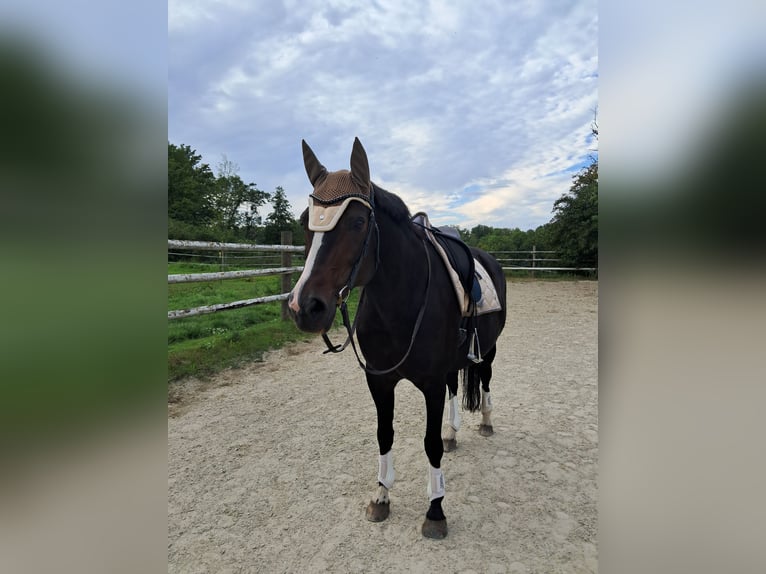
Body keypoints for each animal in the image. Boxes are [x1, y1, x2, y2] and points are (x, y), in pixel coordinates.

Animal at [288, 137, 507, 539]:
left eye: (358, 222)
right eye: (304, 222)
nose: (304, 307)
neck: (400, 302)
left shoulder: (430, 385)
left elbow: (430, 444)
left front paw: (435, 510)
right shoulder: (379, 381)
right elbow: (384, 434)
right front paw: (381, 496)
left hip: (489, 350)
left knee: (483, 379)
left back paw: (485, 422)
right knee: (456, 387)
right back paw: (455, 433)